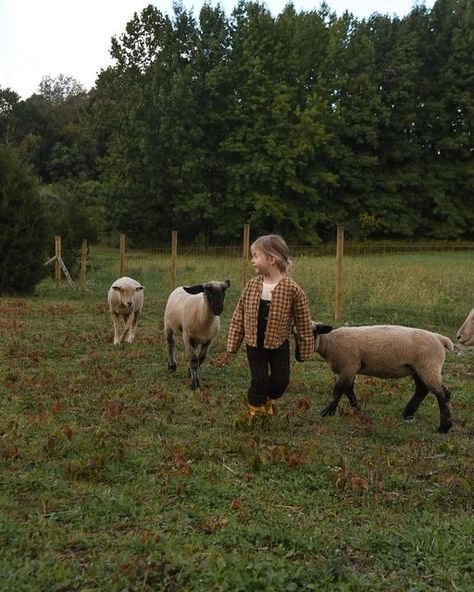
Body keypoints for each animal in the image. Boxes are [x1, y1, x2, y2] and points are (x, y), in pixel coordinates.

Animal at [294, 322, 454, 432]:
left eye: (313, 332)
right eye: (294, 335)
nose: (298, 356)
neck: (330, 342)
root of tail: (440, 338)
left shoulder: (349, 365)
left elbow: (339, 389)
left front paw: (327, 412)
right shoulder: (351, 368)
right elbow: (349, 390)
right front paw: (358, 411)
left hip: (428, 366)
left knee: (442, 394)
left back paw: (444, 427)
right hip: (418, 369)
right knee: (422, 390)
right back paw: (407, 414)